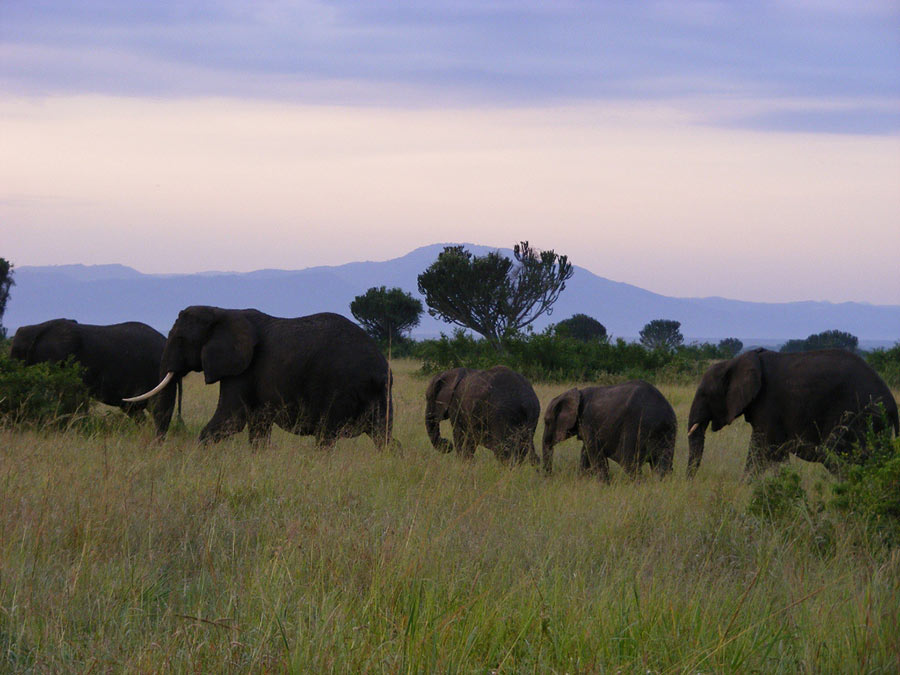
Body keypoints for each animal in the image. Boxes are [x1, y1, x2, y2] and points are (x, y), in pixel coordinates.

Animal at [128, 308, 396, 448]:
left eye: (181, 340)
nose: (157, 447)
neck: (222, 312)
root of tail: (379, 368)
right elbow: (257, 427)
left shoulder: (243, 370)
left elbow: (231, 420)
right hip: (381, 396)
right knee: (384, 437)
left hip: (339, 388)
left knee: (325, 438)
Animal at [540, 380, 676, 480]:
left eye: (547, 421)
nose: (549, 476)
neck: (575, 393)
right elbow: (585, 452)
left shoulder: (587, 421)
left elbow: (594, 452)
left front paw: (603, 485)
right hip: (667, 432)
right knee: (663, 464)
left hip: (637, 427)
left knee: (630, 463)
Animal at [684, 348, 896, 476]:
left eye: (705, 394)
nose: (689, 485)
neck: (733, 362)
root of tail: (893, 406)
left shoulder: (768, 403)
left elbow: (761, 450)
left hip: (860, 417)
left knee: (836, 455)